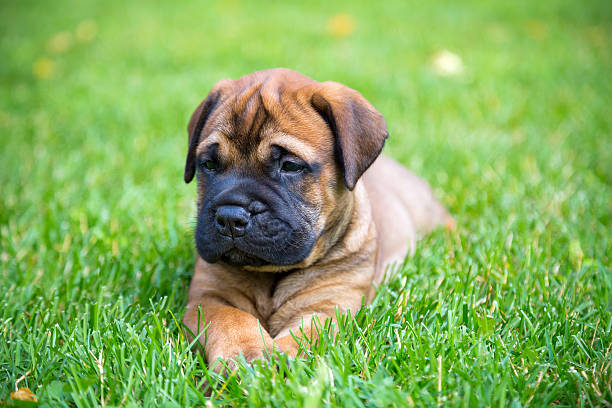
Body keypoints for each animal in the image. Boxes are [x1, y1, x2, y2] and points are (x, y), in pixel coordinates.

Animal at [182, 68, 450, 368]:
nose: (230, 217)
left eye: (289, 166)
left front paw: (281, 359)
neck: (271, 274)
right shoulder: (208, 297)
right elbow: (230, 319)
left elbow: (309, 333)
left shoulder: (332, 304)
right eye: (209, 164)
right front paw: (246, 355)